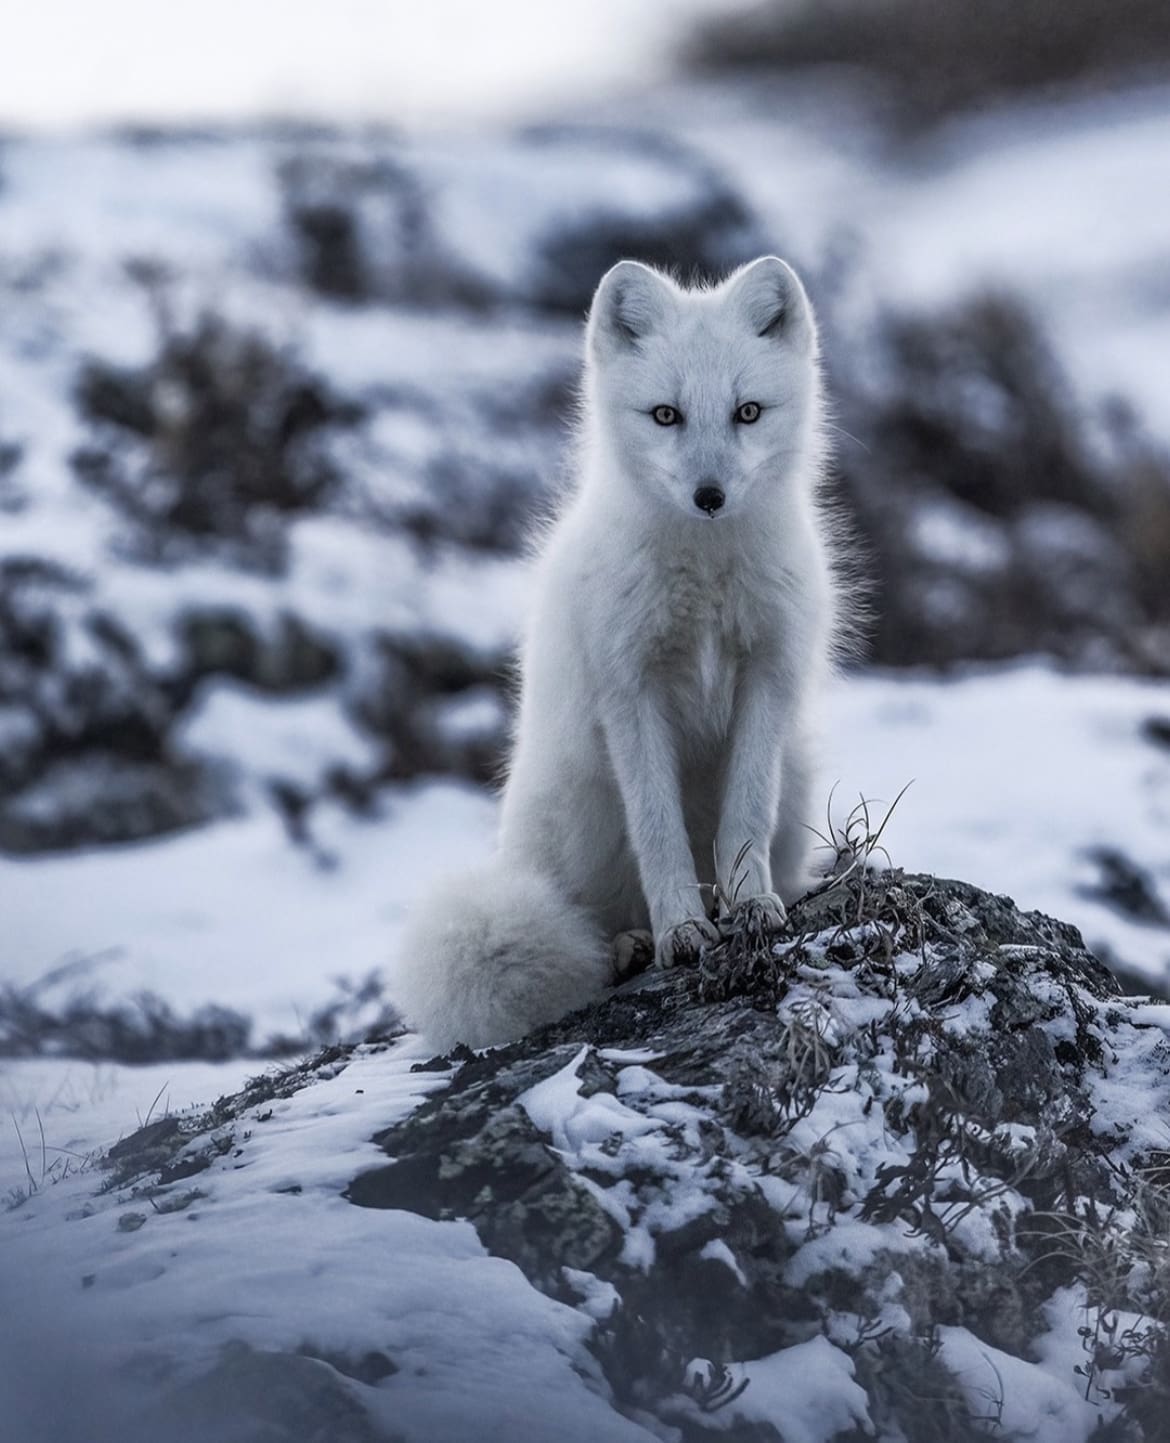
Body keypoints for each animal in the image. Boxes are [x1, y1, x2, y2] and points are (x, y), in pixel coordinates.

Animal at [398, 256, 836, 1050]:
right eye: (665, 415)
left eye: (747, 412)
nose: (710, 495)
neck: (705, 577)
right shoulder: (629, 690)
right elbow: (659, 831)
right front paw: (681, 934)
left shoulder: (770, 674)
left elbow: (745, 815)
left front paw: (749, 907)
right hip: (579, 805)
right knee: (595, 920)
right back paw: (629, 945)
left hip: (799, 777)